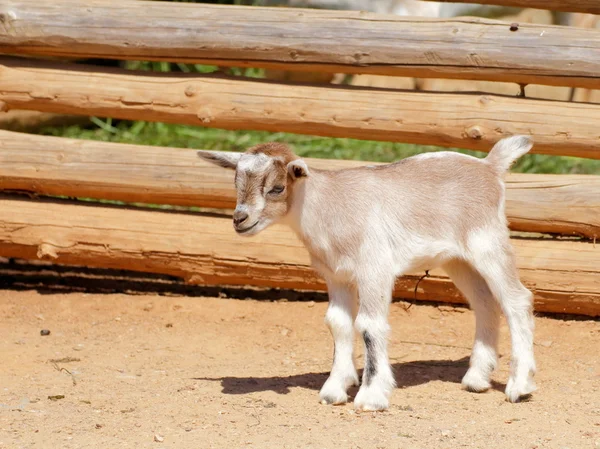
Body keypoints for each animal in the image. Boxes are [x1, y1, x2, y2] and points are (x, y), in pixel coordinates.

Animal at [199, 136, 536, 410]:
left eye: (277, 188)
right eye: (236, 184)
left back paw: (519, 386)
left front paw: (372, 395)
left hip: (488, 243)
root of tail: (489, 166)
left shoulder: (374, 269)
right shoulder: (336, 276)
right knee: (485, 303)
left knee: (516, 300)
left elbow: (369, 326)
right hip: (457, 259)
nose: (239, 219)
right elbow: (338, 323)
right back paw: (476, 379)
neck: (327, 207)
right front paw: (335, 389)